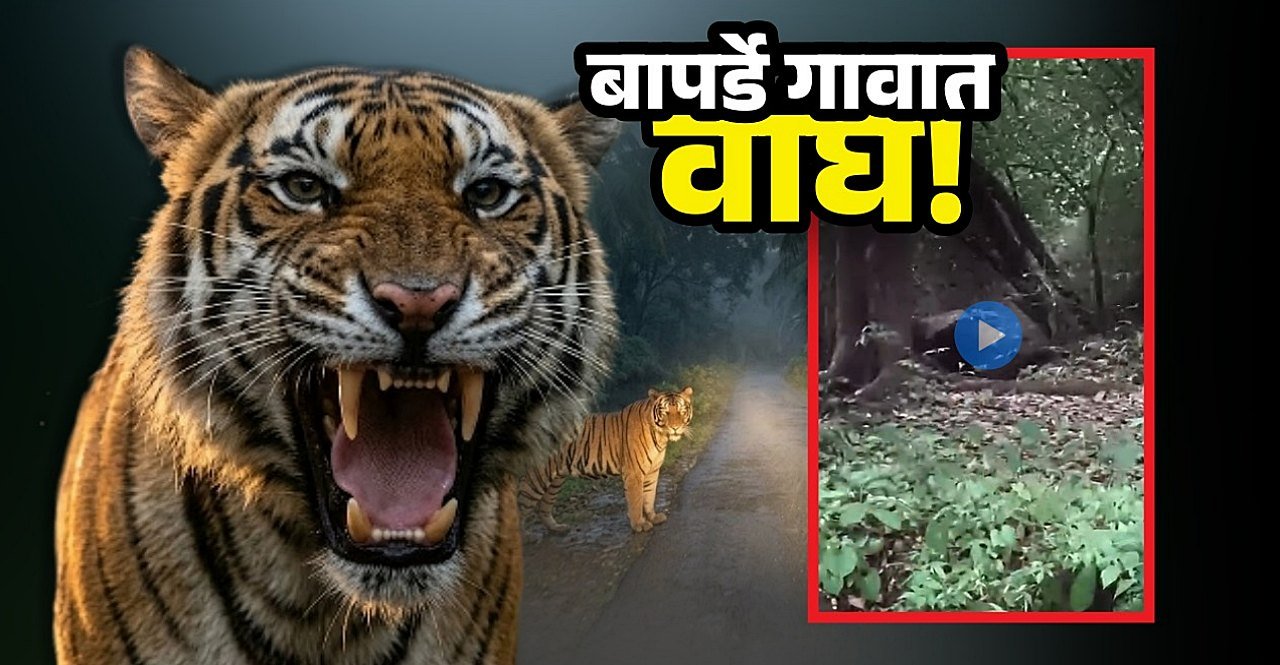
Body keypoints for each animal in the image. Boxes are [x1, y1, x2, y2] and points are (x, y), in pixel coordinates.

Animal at [519, 387, 693, 534]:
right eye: (665, 412)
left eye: (682, 411)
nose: (675, 428)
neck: (661, 438)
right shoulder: (634, 473)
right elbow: (636, 500)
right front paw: (639, 524)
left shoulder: (652, 472)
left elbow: (649, 497)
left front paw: (653, 517)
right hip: (538, 478)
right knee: (521, 507)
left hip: (556, 479)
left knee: (544, 506)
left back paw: (557, 528)